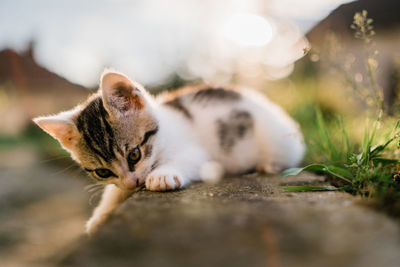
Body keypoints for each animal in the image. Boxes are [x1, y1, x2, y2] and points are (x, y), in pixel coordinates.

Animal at [33, 70, 304, 236]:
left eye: (134, 154)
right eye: (102, 172)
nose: (133, 183)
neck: (164, 134)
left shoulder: (197, 153)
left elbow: (184, 161)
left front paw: (162, 175)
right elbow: (114, 192)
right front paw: (100, 217)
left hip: (280, 141)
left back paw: (267, 165)